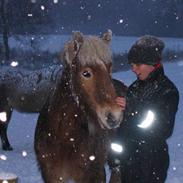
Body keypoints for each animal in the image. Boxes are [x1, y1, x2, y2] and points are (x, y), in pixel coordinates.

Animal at [34, 30, 126, 183]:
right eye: (86, 73)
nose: (115, 116)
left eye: (109, 67)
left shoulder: (90, 174)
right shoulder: (52, 175)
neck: (64, 136)